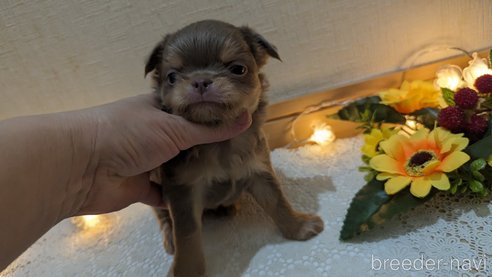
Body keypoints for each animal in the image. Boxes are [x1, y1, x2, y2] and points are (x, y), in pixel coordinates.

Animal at [144, 20, 324, 274]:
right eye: (171, 77)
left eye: (238, 69)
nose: (201, 81)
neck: (219, 141)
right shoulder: (182, 191)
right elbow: (187, 236)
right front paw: (186, 271)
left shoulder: (259, 171)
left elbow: (277, 201)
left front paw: (299, 227)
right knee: (163, 217)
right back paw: (169, 237)